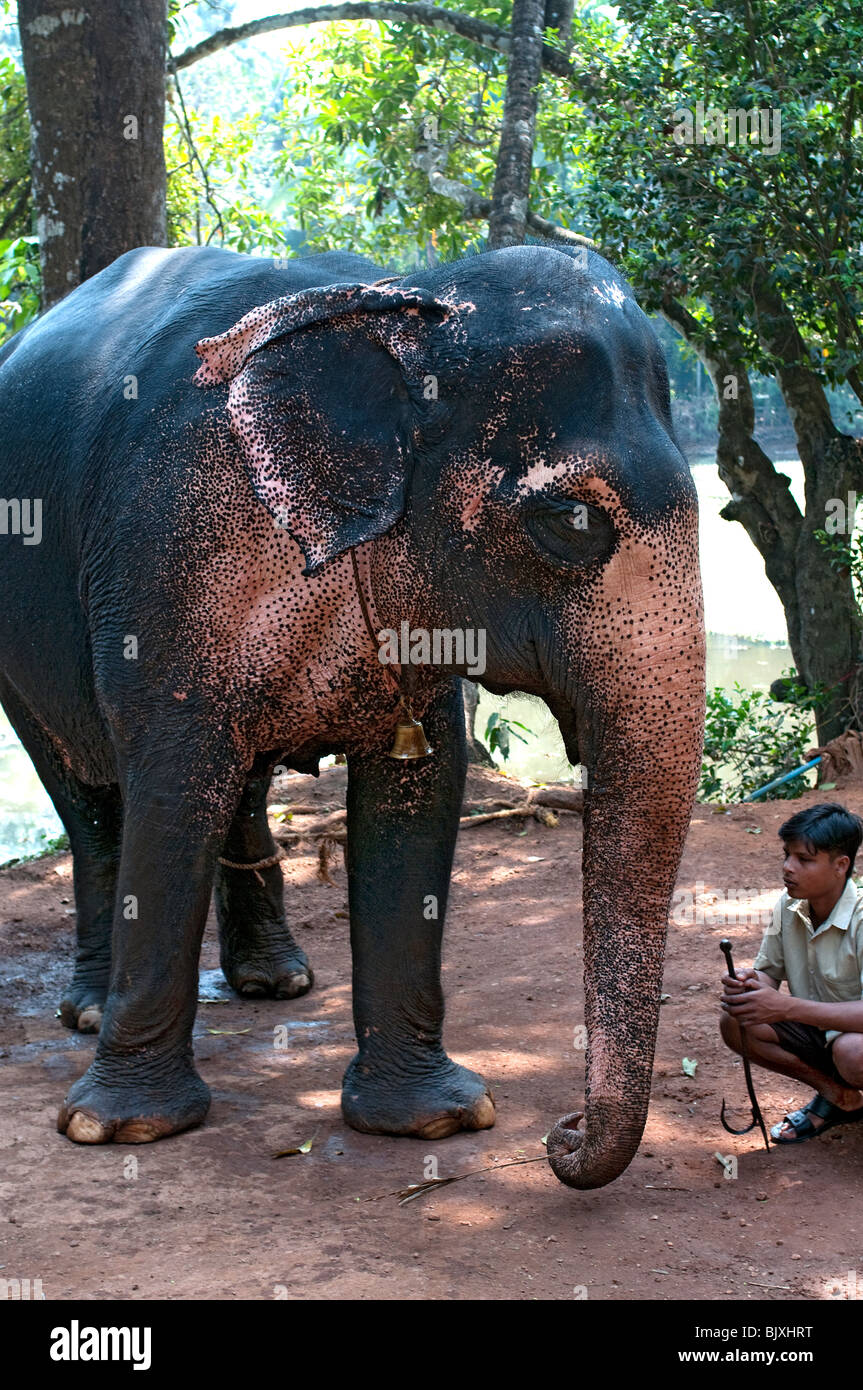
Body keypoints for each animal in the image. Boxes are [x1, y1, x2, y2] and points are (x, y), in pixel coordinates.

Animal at [0, 241, 705, 1189]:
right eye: (569, 519)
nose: (558, 1137)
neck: (404, 302)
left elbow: (421, 789)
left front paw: (437, 1120)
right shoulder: (163, 554)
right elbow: (172, 783)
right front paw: (119, 1130)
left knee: (240, 786)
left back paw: (276, 983)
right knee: (88, 794)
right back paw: (85, 1011)